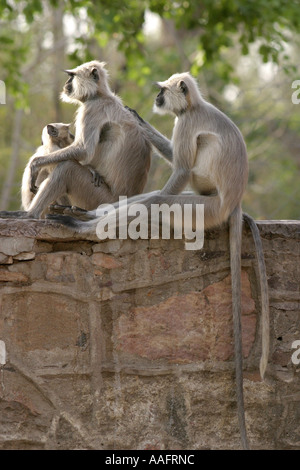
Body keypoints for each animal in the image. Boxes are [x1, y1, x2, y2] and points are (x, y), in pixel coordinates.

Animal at [23, 59, 151, 219]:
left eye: (72, 77)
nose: (66, 83)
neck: (100, 95)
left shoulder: (91, 108)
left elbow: (83, 151)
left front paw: (35, 164)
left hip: (101, 200)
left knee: (67, 167)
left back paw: (30, 214)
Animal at [49, 71, 270, 450]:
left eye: (163, 91)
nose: (156, 98)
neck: (194, 106)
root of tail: (233, 204)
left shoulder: (187, 123)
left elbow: (176, 176)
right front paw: (137, 119)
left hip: (203, 210)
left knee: (156, 204)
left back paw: (83, 222)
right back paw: (86, 214)